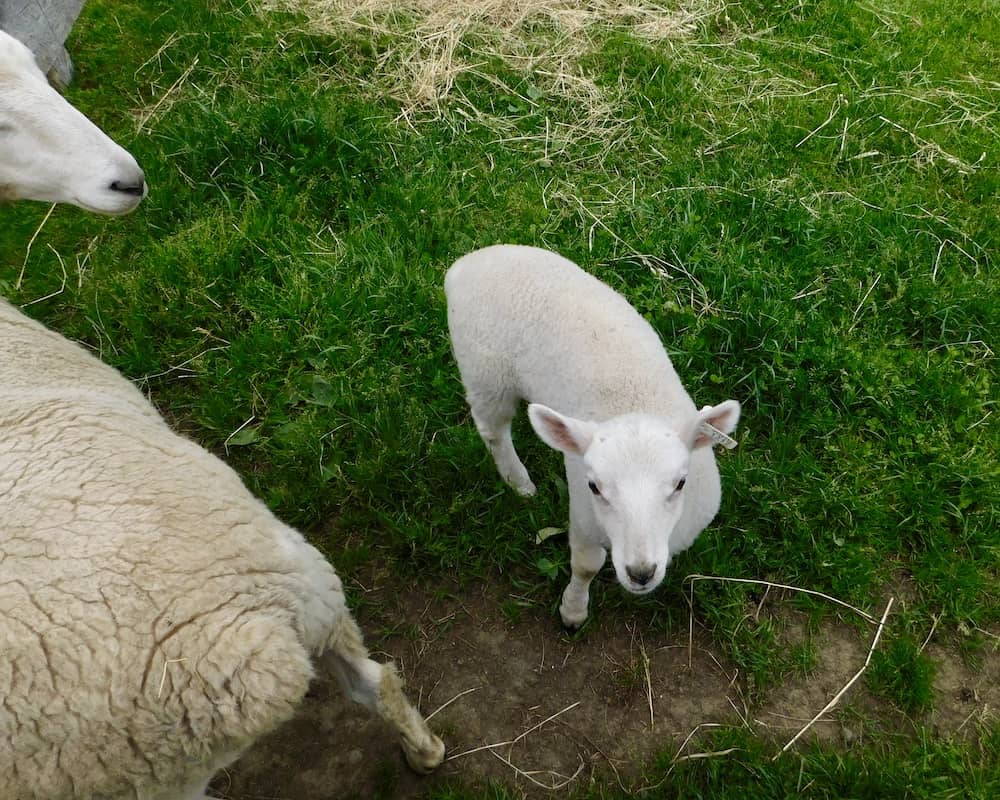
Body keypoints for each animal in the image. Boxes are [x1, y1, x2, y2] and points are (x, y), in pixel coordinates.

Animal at [448, 242, 744, 624]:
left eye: (681, 483)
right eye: (594, 487)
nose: (640, 573)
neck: (633, 405)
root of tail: (468, 261)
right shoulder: (583, 518)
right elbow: (586, 566)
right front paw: (573, 611)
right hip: (486, 373)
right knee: (494, 431)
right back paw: (520, 483)